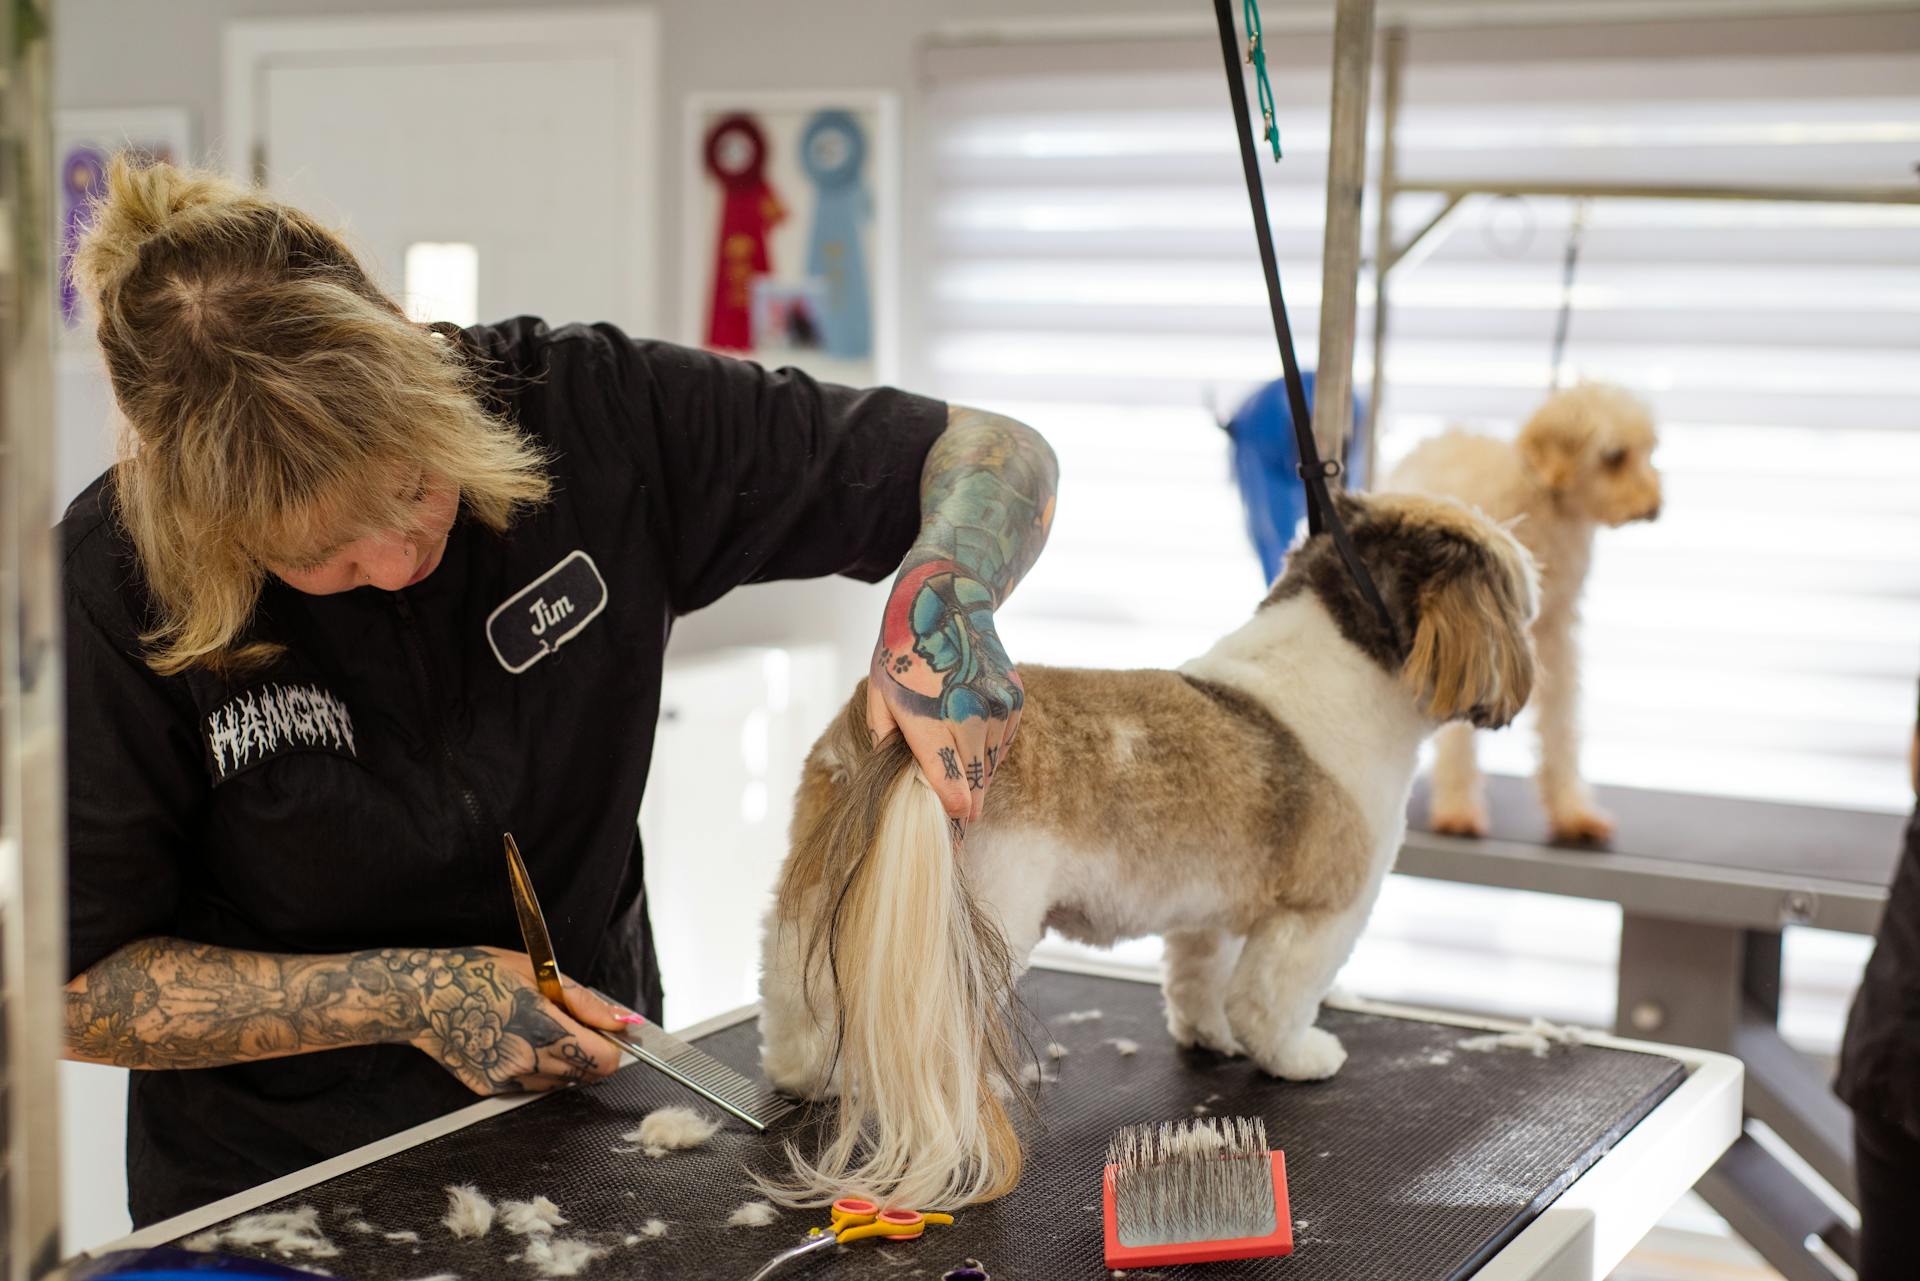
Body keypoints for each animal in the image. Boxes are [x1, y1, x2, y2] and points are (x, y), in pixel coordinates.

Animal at [756, 491, 1536, 1213]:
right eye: (1522, 603)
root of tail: (907, 743)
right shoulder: (1319, 910)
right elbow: (1271, 1000)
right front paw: (1297, 1056)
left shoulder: (1212, 909)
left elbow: (1202, 980)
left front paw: (1210, 1034)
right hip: (977, 913)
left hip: (824, 882)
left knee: (794, 981)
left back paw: (804, 1072)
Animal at [1382, 380, 1666, 841]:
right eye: (1614, 456)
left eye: (1648, 450)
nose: (1655, 505)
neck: (1541, 504)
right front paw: (1459, 808)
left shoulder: (1557, 635)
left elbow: (1561, 725)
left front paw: (1571, 811)